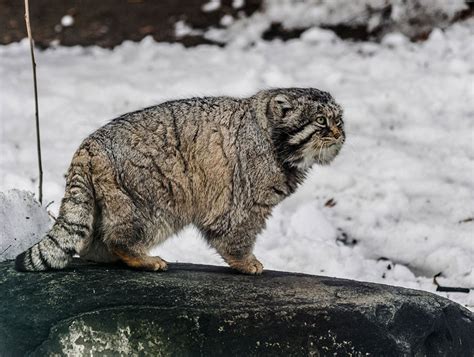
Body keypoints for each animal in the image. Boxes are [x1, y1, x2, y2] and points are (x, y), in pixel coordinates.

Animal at [15, 87, 344, 274]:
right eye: (321, 121)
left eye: (339, 119)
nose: (341, 133)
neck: (271, 137)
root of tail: (89, 145)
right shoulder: (245, 204)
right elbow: (236, 236)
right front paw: (246, 262)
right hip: (153, 200)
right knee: (119, 238)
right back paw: (142, 259)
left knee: (90, 243)